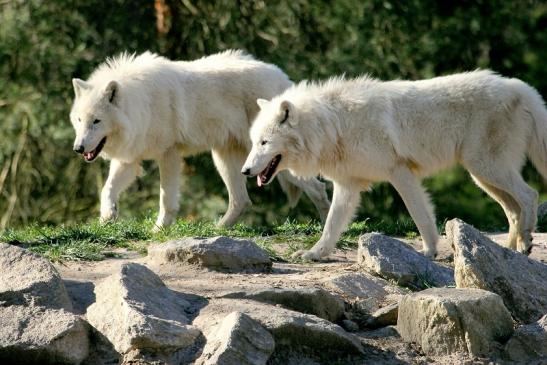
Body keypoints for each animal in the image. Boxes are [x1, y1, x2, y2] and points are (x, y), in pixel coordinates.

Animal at [244, 70, 547, 258]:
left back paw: (526, 242)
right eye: (253, 142)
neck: (333, 126)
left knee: (530, 195)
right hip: (482, 176)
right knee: (513, 209)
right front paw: (314, 254)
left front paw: (428, 251)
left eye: (264, 143)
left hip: (486, 168)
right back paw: (511, 249)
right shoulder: (347, 185)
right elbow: (331, 226)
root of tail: (520, 87)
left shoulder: (399, 172)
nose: (245, 171)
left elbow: (420, 215)